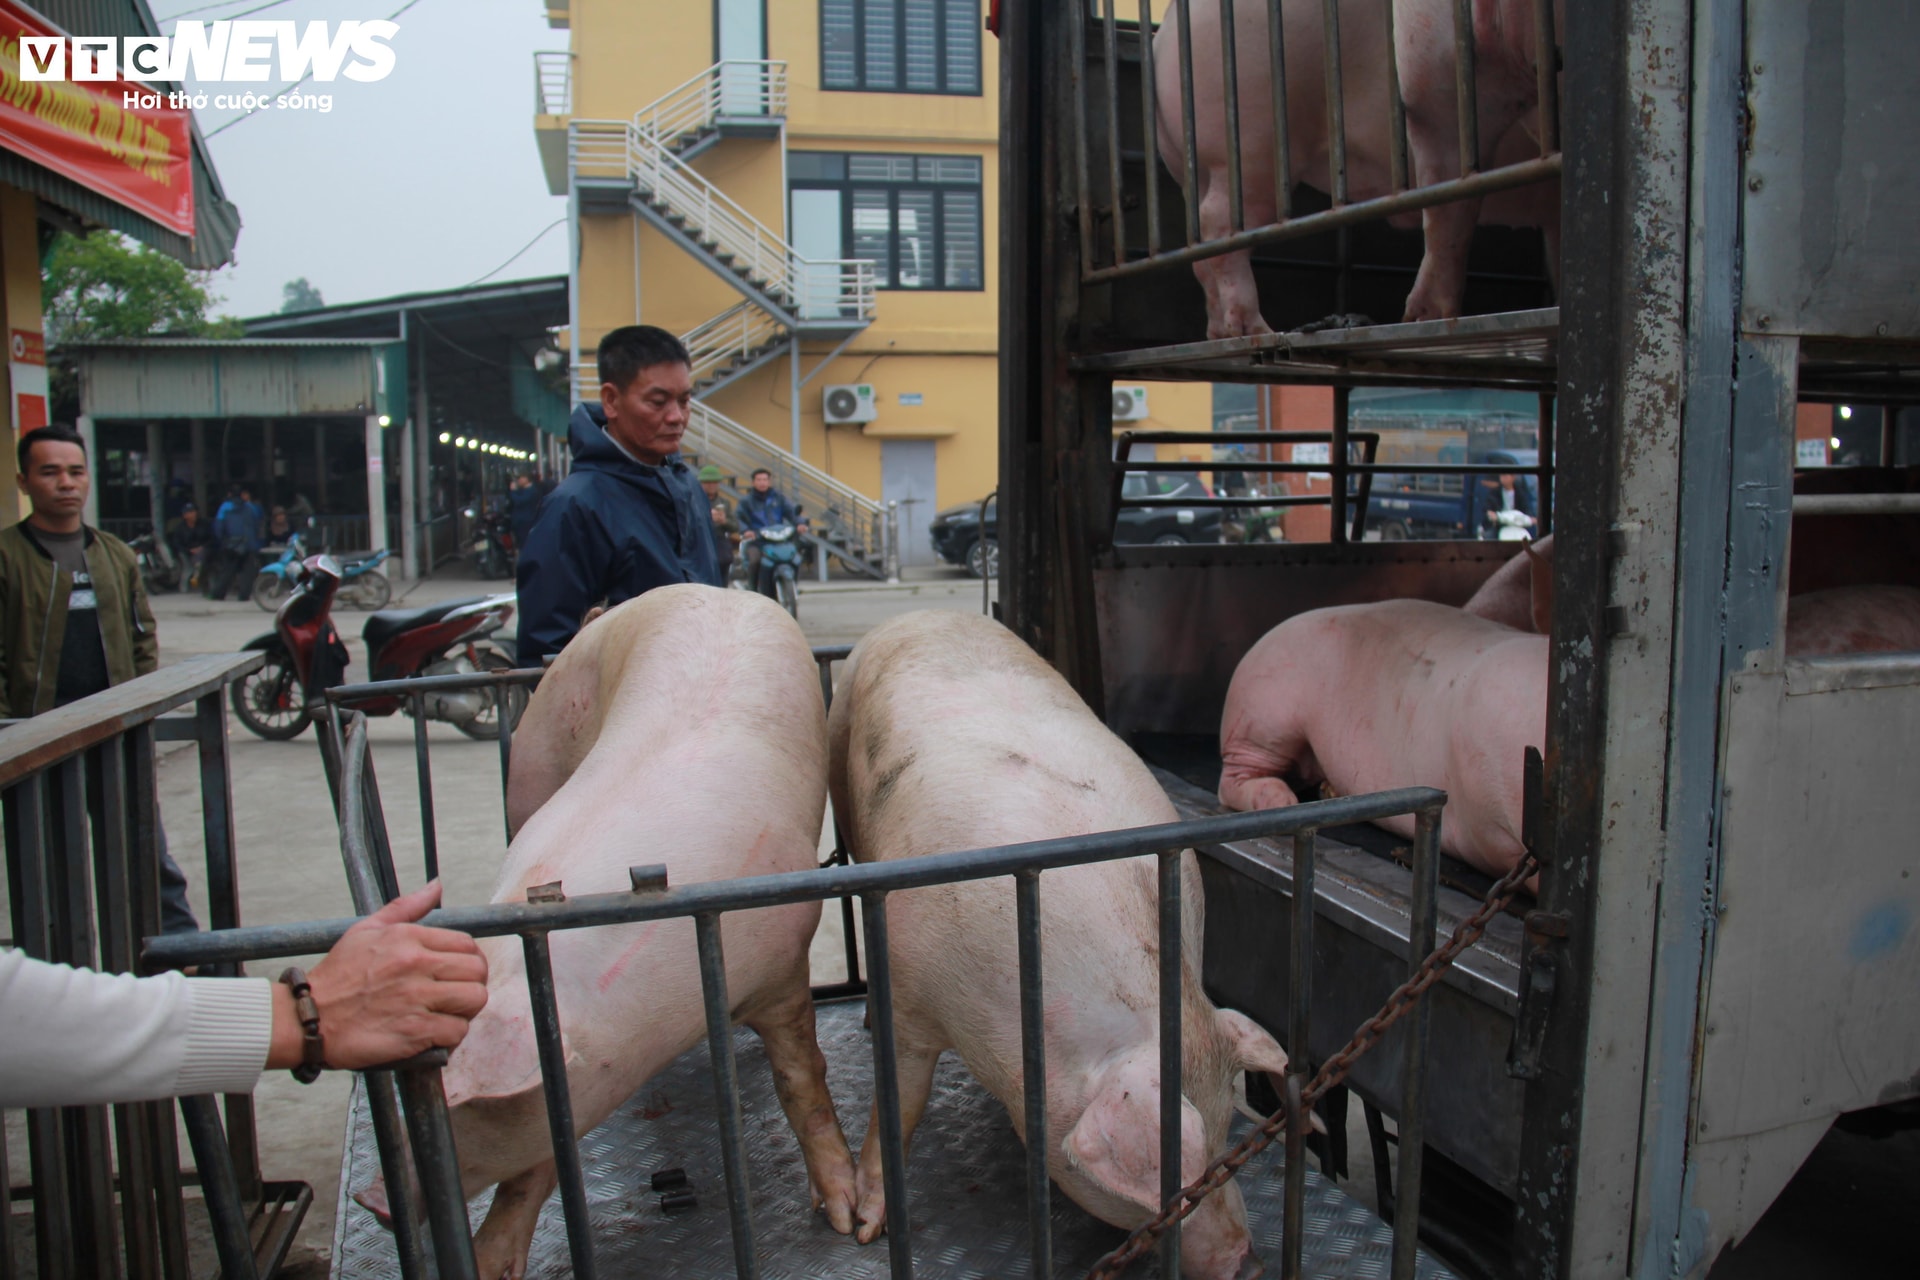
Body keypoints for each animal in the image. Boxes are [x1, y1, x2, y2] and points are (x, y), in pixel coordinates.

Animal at [351, 587, 856, 1280]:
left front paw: (851, 1222)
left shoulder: (785, 955)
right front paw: (488, 1263)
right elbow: (536, 1166)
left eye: (466, 1106)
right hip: (536, 753)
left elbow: (802, 1079)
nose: (369, 1199)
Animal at [825, 610, 1290, 1280]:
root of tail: (920, 612)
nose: (1248, 1264)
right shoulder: (911, 994)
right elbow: (902, 1107)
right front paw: (865, 1229)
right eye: (1174, 1180)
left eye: (1229, 1127)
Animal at [1152, 0, 1559, 339]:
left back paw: (1222, 334)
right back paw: (1258, 331)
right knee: (1220, 224)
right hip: (1252, 134)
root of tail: (1164, 32)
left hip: (1197, 167)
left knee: (1200, 248)